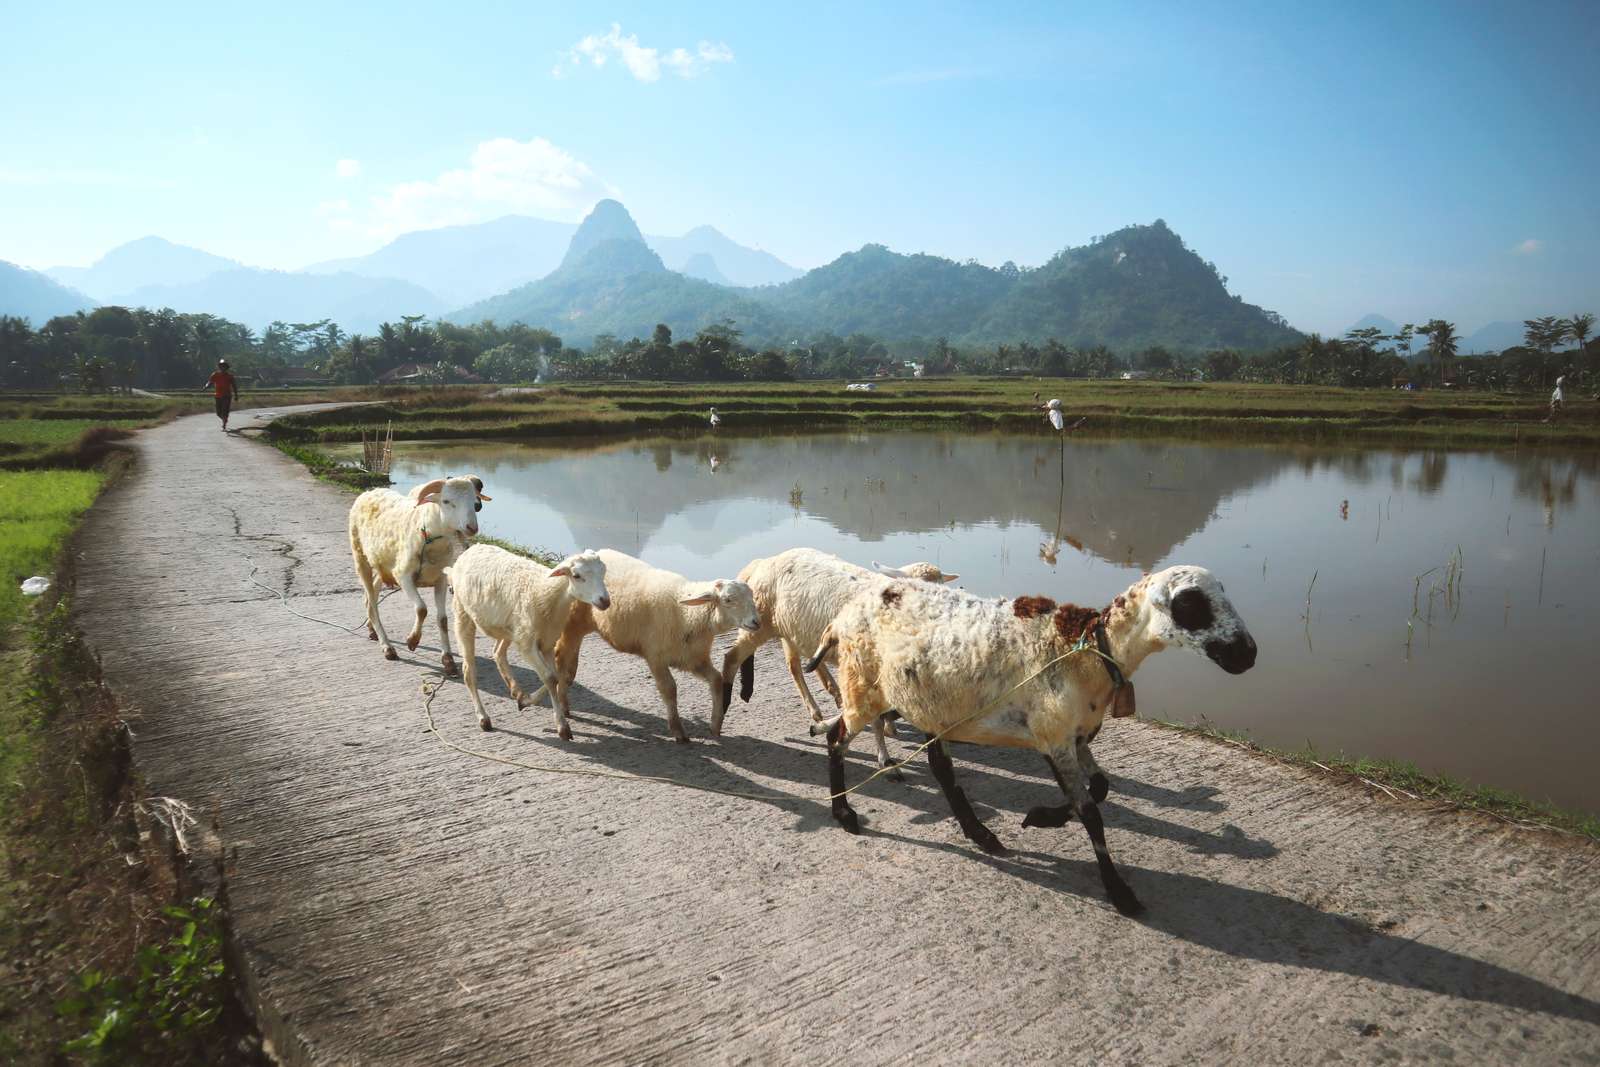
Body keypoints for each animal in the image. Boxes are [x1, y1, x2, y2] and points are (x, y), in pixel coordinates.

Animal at [710, 556, 947, 771]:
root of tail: (765, 561)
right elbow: (875, 718)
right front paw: (885, 758)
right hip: (759, 623)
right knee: (732, 658)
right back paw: (720, 716)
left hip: (792, 630)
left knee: (796, 665)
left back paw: (823, 702)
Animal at [806, 566, 1254, 921]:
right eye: (1191, 605)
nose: (1247, 654)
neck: (1088, 653)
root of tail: (842, 617)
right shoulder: (1054, 735)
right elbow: (1090, 812)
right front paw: (1119, 892)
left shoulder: (1075, 736)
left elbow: (1099, 788)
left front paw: (1040, 817)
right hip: (863, 684)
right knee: (836, 739)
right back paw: (844, 813)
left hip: (933, 703)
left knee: (938, 764)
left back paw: (981, 834)